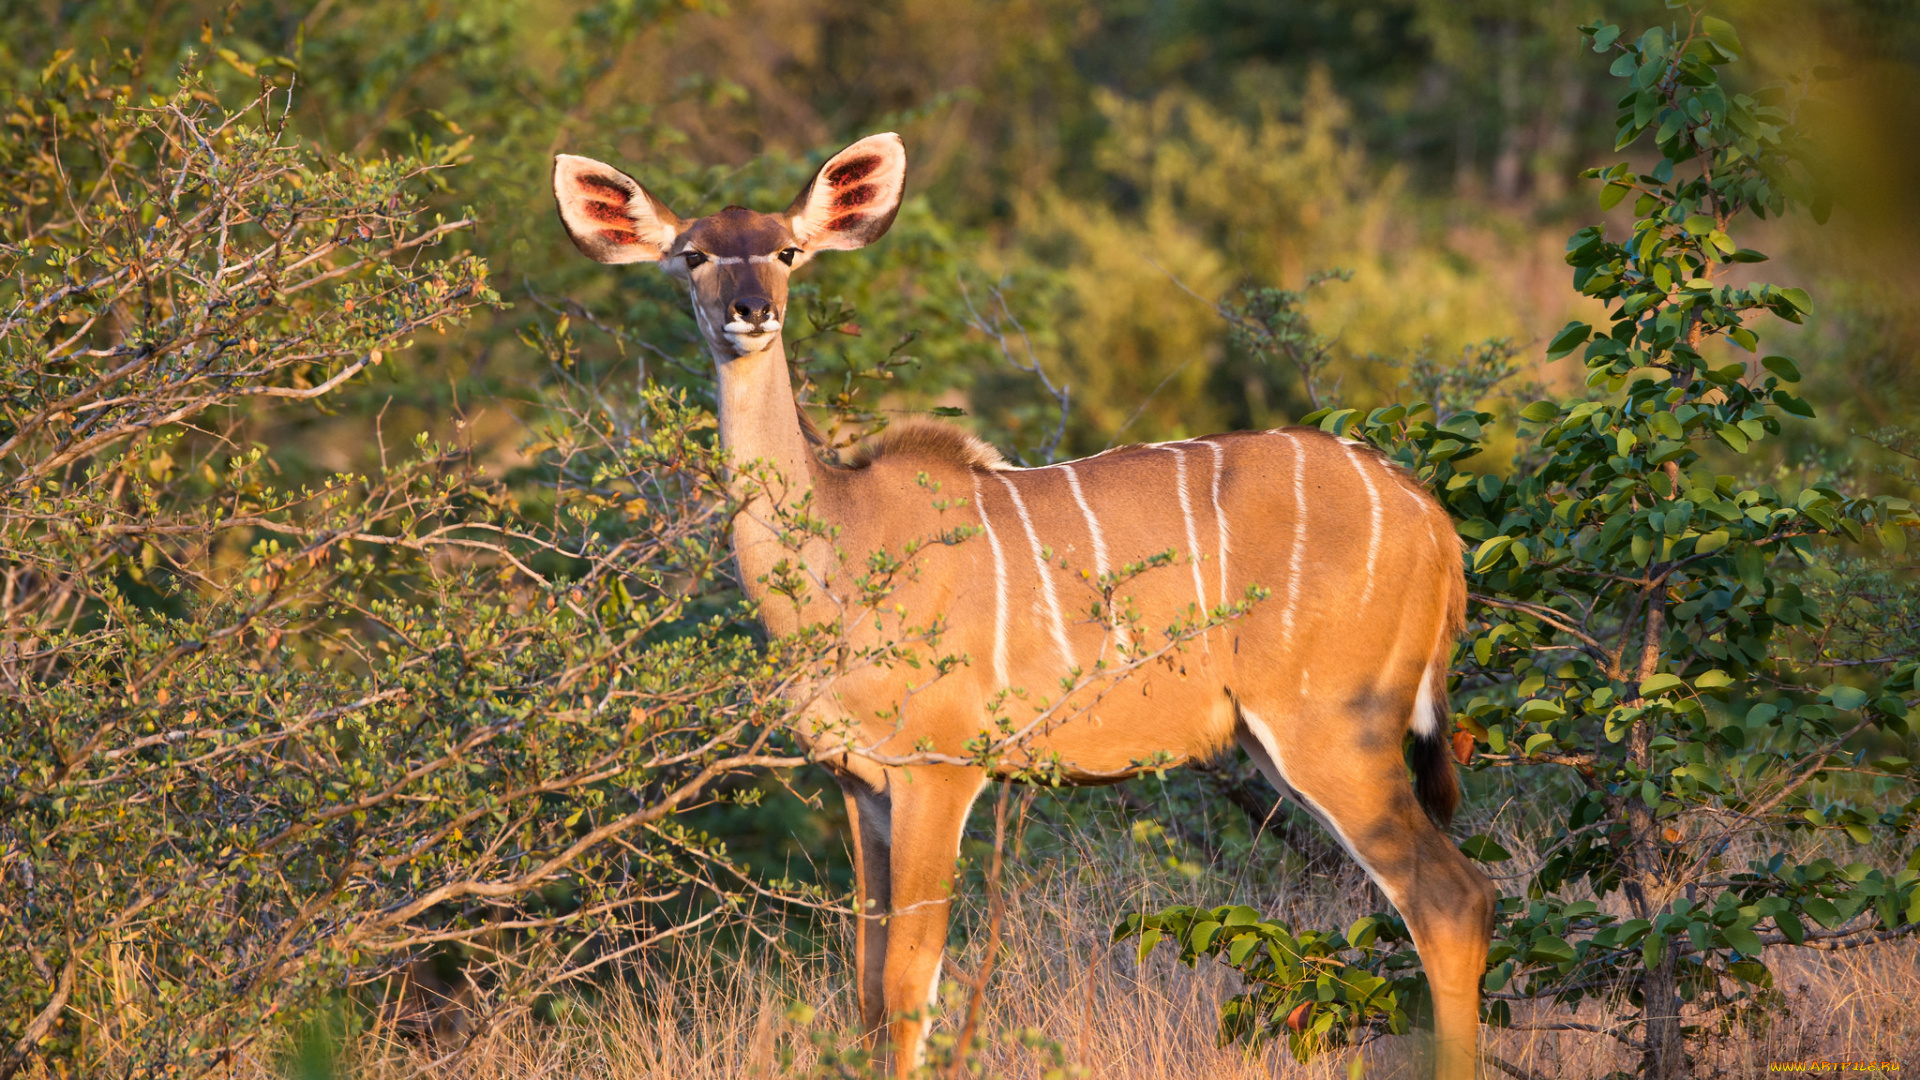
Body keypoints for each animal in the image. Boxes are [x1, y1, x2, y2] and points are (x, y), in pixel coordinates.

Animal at [556, 134, 1497, 1076]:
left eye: (788, 251)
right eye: (694, 256)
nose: (750, 312)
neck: (842, 544)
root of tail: (1431, 518)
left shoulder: (938, 769)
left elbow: (908, 984)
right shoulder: (859, 783)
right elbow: (865, 989)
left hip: (1335, 731)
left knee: (1451, 899)